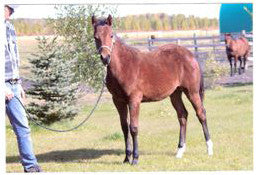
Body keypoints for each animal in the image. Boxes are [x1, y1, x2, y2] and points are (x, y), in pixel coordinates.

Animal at [91, 14, 213, 165]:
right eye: (95, 37)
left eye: (111, 35)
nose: (105, 58)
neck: (124, 66)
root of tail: (190, 55)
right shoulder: (118, 101)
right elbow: (124, 128)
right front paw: (126, 158)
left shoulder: (134, 100)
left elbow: (133, 128)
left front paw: (135, 158)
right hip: (175, 94)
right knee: (183, 115)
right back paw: (180, 151)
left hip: (192, 92)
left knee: (201, 114)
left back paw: (209, 149)